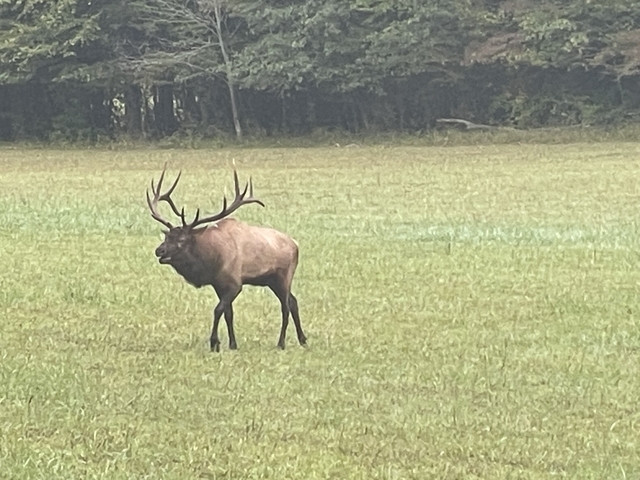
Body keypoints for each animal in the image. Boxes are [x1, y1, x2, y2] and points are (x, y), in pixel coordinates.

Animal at [146, 165, 307, 352]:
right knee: (293, 301)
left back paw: (281, 343)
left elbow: (218, 310)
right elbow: (228, 314)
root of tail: (296, 245)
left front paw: (214, 343)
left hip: (284, 276)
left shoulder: (235, 284)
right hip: (271, 280)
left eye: (182, 240)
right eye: (167, 237)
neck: (212, 262)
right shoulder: (219, 285)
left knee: (285, 306)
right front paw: (232, 344)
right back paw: (303, 339)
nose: (159, 250)